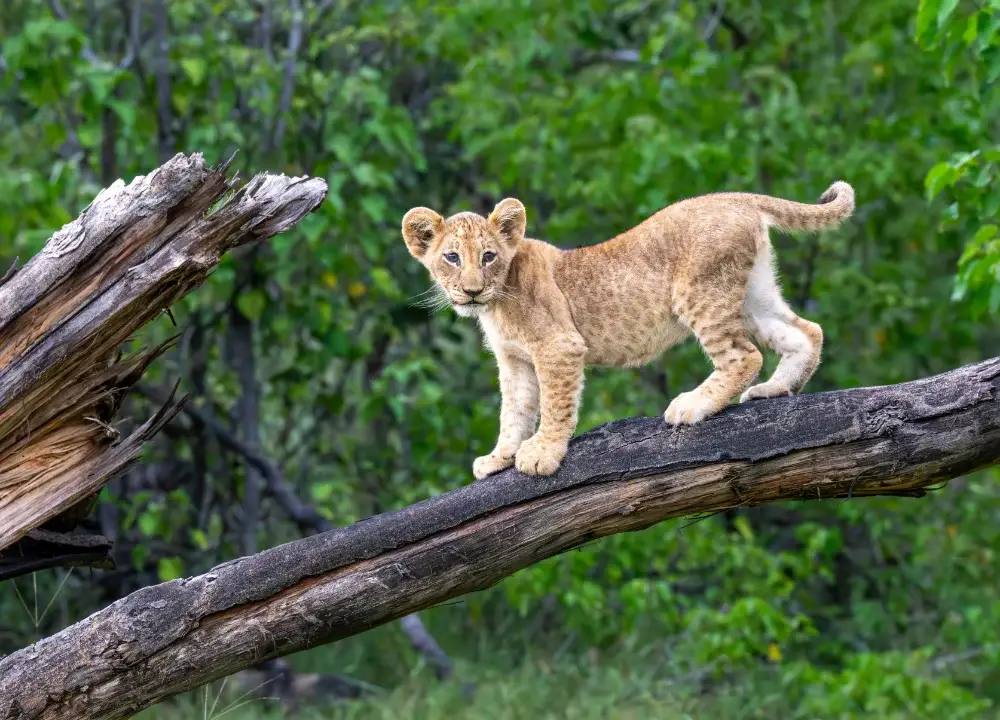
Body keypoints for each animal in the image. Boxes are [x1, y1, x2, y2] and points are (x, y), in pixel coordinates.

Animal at [401, 181, 854, 478]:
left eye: (489, 256)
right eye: (452, 258)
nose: (472, 290)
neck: (496, 303)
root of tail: (734, 196)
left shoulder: (559, 346)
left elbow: (554, 405)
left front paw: (543, 453)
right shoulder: (515, 361)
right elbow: (514, 411)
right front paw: (499, 458)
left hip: (701, 292)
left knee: (744, 355)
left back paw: (692, 406)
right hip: (752, 294)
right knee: (807, 331)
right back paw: (776, 389)